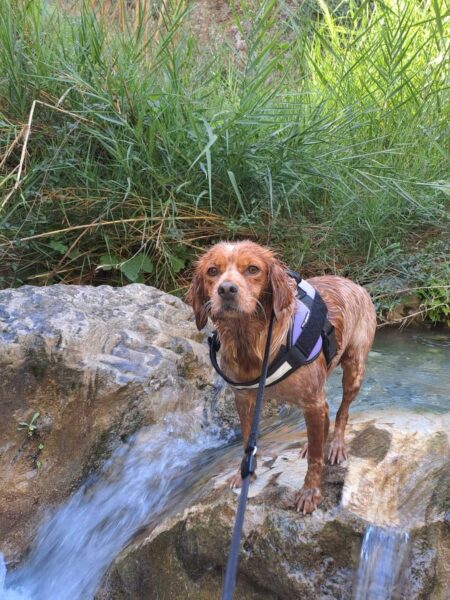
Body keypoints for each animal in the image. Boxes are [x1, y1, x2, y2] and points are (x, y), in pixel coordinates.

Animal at [186, 241, 376, 512]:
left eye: (253, 269)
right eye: (212, 271)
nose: (226, 289)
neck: (251, 342)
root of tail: (356, 285)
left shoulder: (311, 401)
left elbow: (316, 459)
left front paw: (310, 492)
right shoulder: (244, 400)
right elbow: (248, 440)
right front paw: (246, 474)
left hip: (354, 369)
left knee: (342, 410)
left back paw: (336, 444)